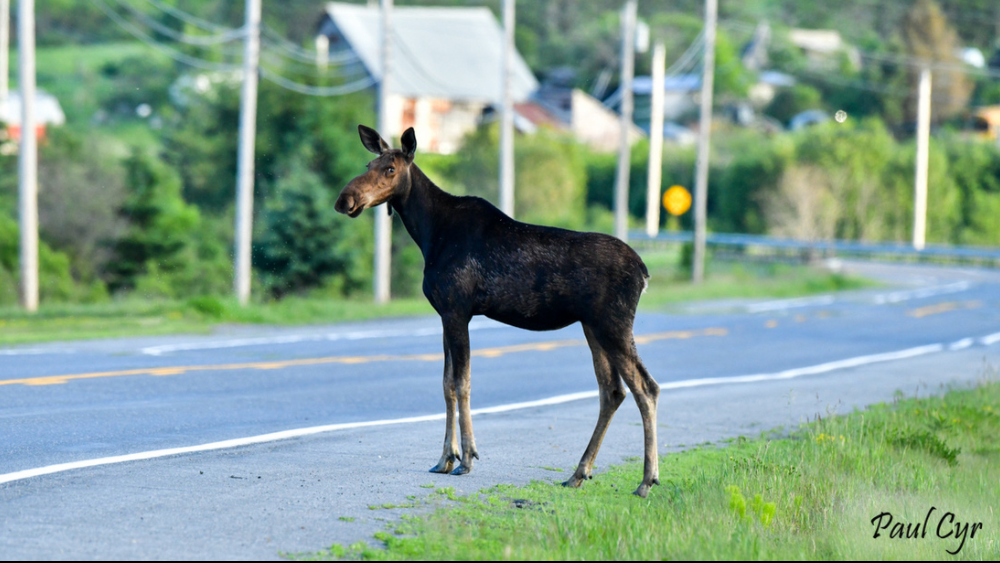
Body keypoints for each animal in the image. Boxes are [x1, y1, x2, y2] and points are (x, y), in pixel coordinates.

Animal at [336, 126, 660, 498]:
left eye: (390, 169)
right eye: (368, 163)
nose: (345, 200)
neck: (428, 233)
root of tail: (644, 272)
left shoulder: (457, 309)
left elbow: (461, 383)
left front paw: (466, 459)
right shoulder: (446, 314)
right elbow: (446, 384)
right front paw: (444, 458)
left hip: (613, 324)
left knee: (645, 387)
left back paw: (646, 480)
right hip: (592, 326)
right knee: (612, 391)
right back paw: (579, 472)